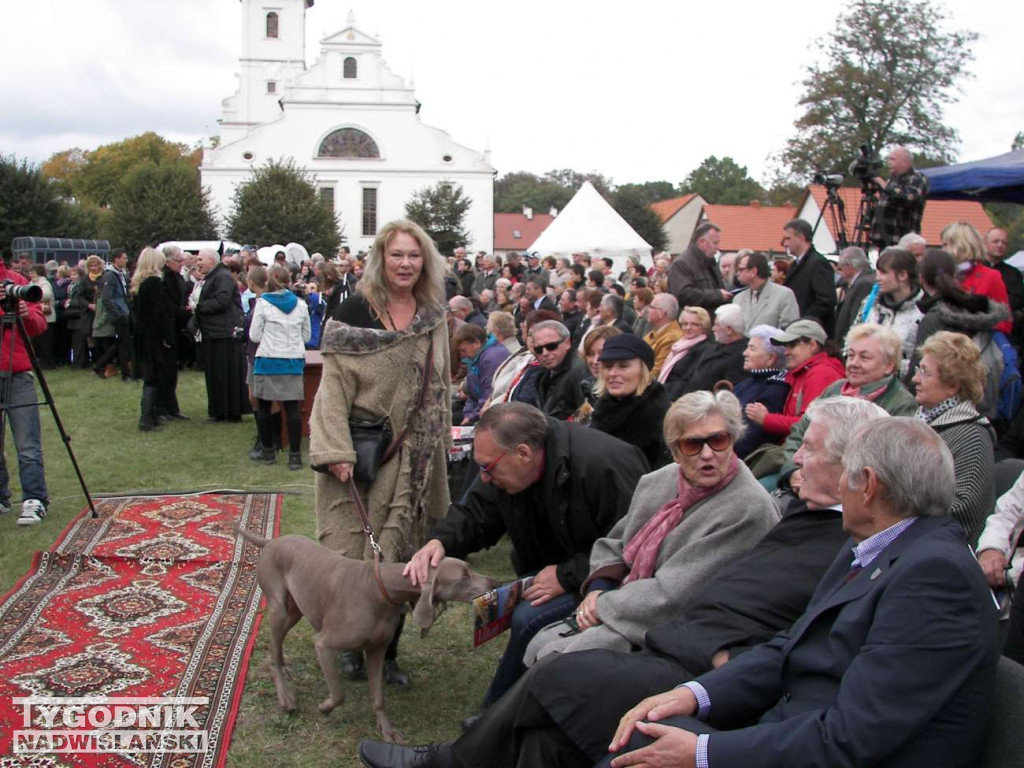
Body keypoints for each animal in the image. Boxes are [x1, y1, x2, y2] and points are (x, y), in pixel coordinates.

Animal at [239, 532, 495, 741]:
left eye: (469, 569)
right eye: (463, 577)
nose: (495, 582)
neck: (383, 589)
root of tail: (271, 541)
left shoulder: (377, 650)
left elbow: (379, 697)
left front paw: (386, 729)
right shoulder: (323, 644)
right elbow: (339, 694)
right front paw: (325, 707)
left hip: (295, 610)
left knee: (278, 648)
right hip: (279, 608)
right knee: (272, 654)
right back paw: (286, 697)